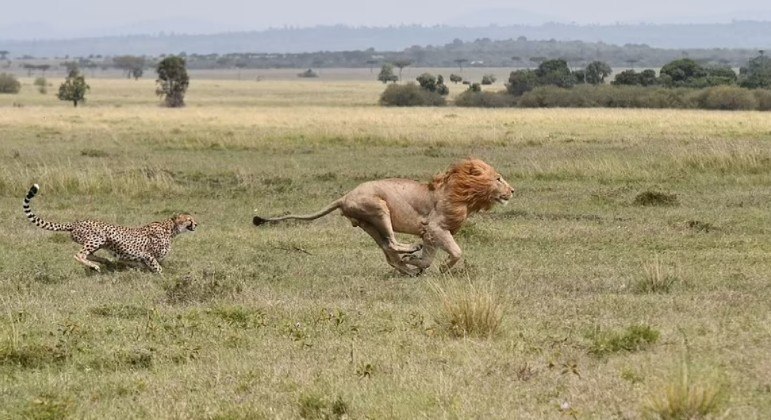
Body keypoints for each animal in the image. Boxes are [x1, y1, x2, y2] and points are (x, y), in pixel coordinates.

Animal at [24, 184, 196, 272]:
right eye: (189, 219)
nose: (196, 224)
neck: (170, 229)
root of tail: (76, 222)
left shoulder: (143, 259)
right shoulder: (148, 255)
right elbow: (158, 268)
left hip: (100, 242)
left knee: (90, 254)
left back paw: (104, 261)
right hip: (97, 237)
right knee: (79, 254)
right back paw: (95, 266)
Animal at [253, 158, 516, 276]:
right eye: (498, 178)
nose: (513, 191)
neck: (463, 194)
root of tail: (344, 197)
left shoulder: (432, 234)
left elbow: (428, 258)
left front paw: (419, 264)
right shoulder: (434, 227)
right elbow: (456, 252)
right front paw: (440, 267)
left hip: (369, 224)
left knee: (389, 252)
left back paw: (407, 267)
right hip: (379, 209)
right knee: (392, 243)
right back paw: (410, 251)